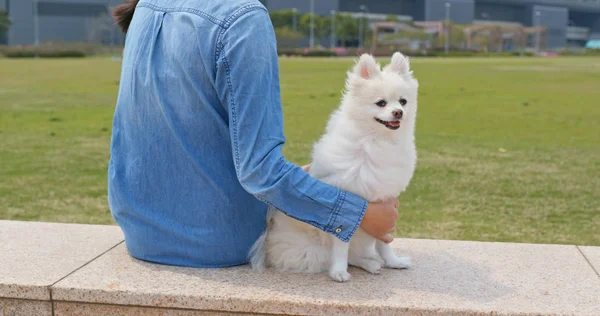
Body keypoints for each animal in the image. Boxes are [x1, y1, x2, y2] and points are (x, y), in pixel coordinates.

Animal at [248, 51, 418, 282]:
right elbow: (341, 244)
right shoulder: (350, 205)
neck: (375, 140)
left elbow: (384, 241)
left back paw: (371, 263)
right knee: (334, 255)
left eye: (403, 101)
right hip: (312, 249)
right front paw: (338, 271)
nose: (398, 112)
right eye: (381, 103)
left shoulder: (385, 199)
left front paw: (393, 261)